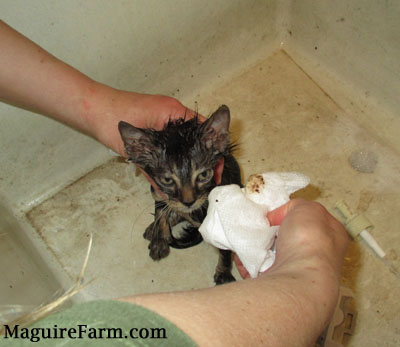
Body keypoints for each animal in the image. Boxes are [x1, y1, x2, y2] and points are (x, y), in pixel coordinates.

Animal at [117, 104, 242, 284]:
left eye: (204, 175)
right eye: (167, 180)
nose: (188, 202)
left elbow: (224, 250)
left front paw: (223, 274)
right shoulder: (158, 192)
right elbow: (160, 212)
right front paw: (159, 241)